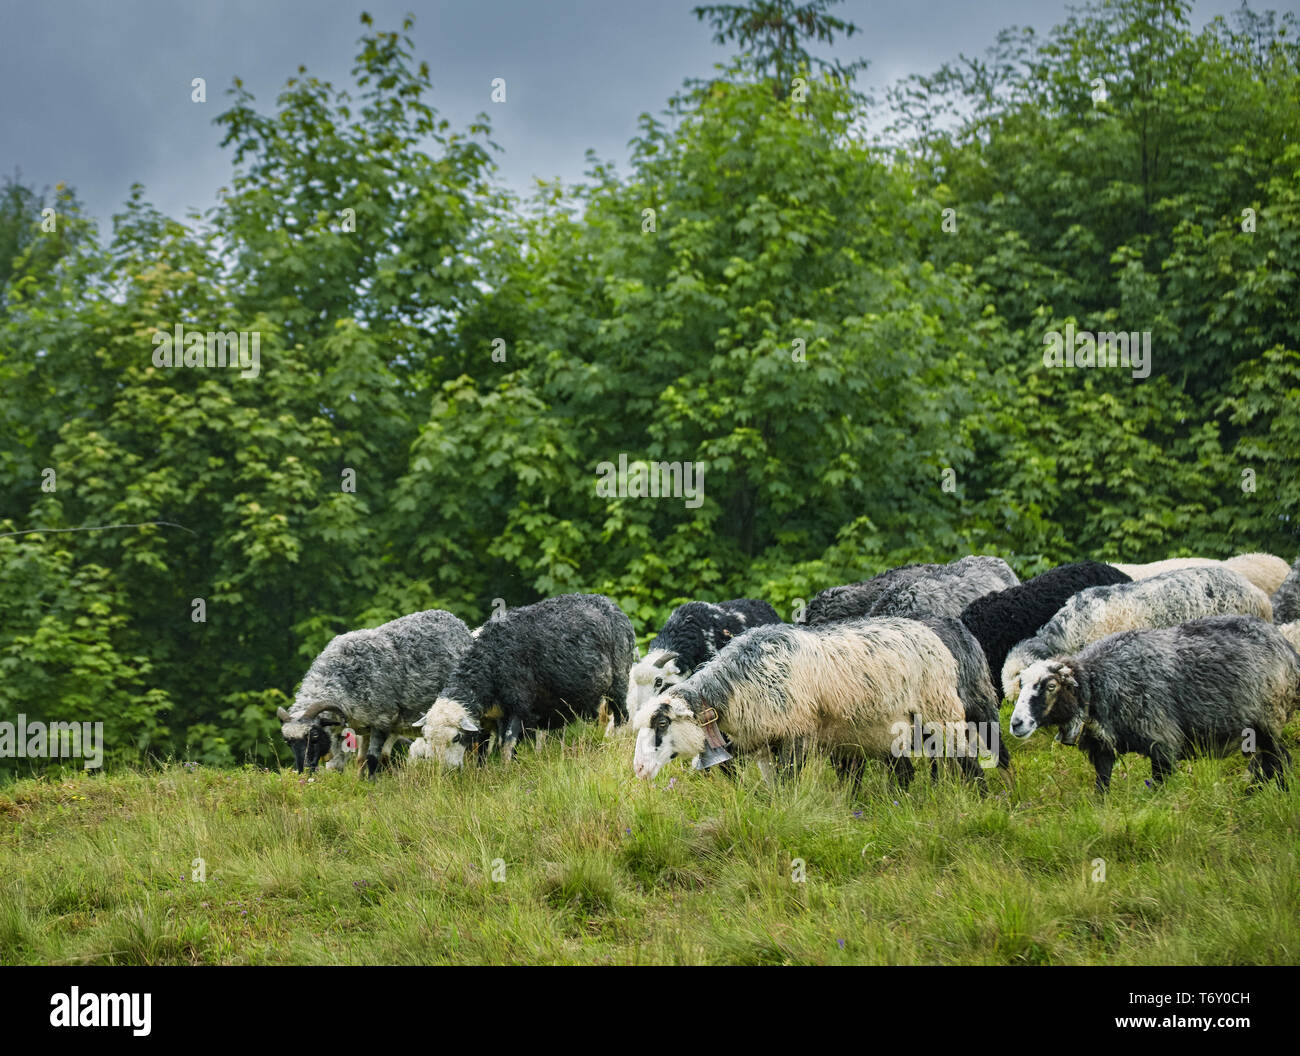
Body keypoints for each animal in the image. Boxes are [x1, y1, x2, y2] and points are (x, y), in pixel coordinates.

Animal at [276, 609, 474, 776]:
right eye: (287, 742)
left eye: (315, 736)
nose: (303, 769)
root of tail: (457, 622)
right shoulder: (356, 728)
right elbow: (351, 762)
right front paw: (358, 783)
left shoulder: (382, 720)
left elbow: (372, 759)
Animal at [419, 593, 636, 766]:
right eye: (427, 739)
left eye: (456, 738)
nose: (446, 771)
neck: (490, 664)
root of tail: (611, 605)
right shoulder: (489, 718)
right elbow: (483, 747)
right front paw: (482, 770)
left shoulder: (519, 706)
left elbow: (507, 743)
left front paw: (507, 771)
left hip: (619, 679)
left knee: (622, 717)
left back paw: (617, 743)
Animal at [631, 618, 983, 789]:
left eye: (662, 723)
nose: (638, 769)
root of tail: (930, 631)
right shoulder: (764, 744)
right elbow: (773, 786)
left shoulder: (797, 735)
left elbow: (789, 784)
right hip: (890, 730)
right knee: (905, 772)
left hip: (940, 712)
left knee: (968, 761)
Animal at [1009, 615, 1300, 792]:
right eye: (1021, 685)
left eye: (1050, 686)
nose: (1016, 723)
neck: (1099, 681)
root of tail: (1287, 648)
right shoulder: (1102, 745)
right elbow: (1102, 785)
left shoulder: (1162, 741)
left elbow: (1161, 786)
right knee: (1268, 763)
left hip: (1268, 719)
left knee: (1279, 760)